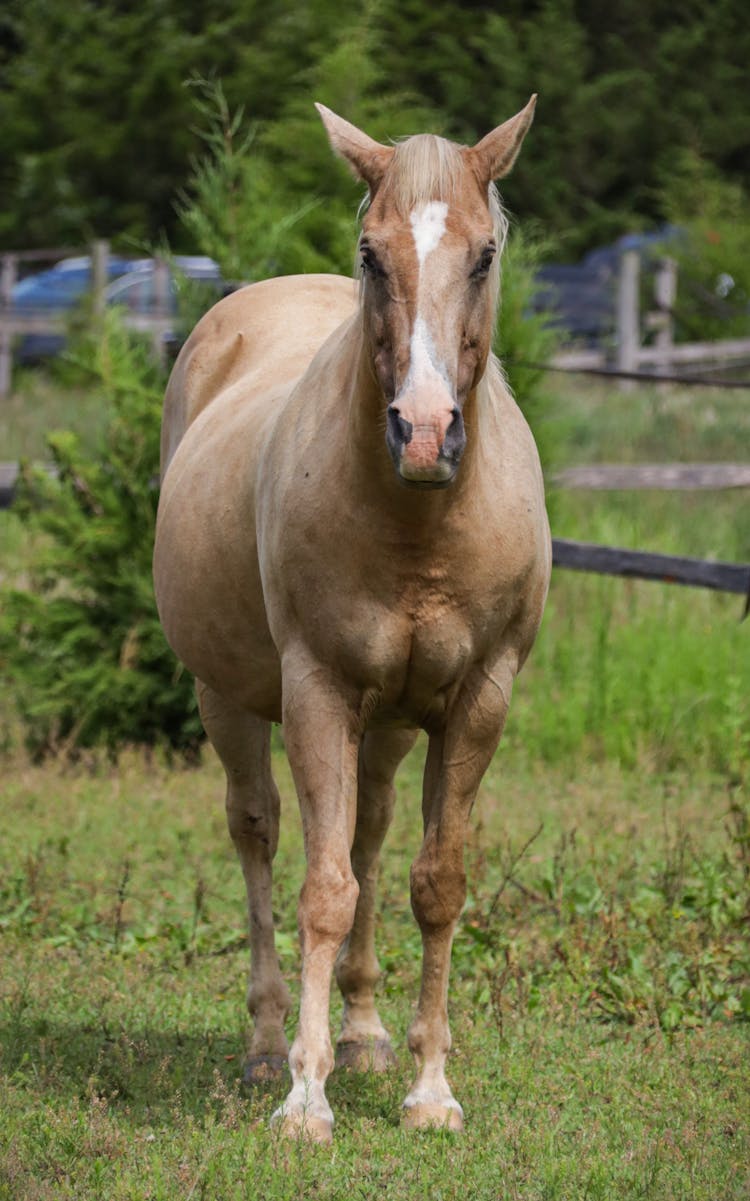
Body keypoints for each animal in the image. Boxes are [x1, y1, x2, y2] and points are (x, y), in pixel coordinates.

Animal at [152, 98, 550, 1138]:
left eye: (485, 254)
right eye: (372, 254)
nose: (423, 432)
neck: (418, 522)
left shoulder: (477, 701)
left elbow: (433, 884)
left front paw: (429, 1087)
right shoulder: (318, 693)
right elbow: (323, 891)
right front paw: (304, 1097)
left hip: (390, 723)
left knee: (370, 836)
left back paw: (368, 1035)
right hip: (227, 697)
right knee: (258, 832)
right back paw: (262, 1044)